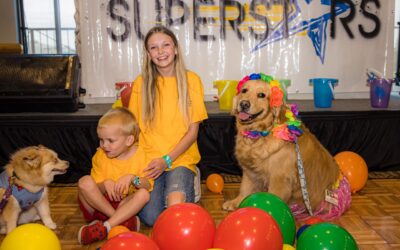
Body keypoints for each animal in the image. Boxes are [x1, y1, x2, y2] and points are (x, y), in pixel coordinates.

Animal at [223, 74, 352, 221]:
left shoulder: (280, 178)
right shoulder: (250, 172)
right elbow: (245, 188)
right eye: (244, 91)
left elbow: (273, 197)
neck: (263, 132)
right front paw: (236, 202)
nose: (244, 104)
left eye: (261, 95)